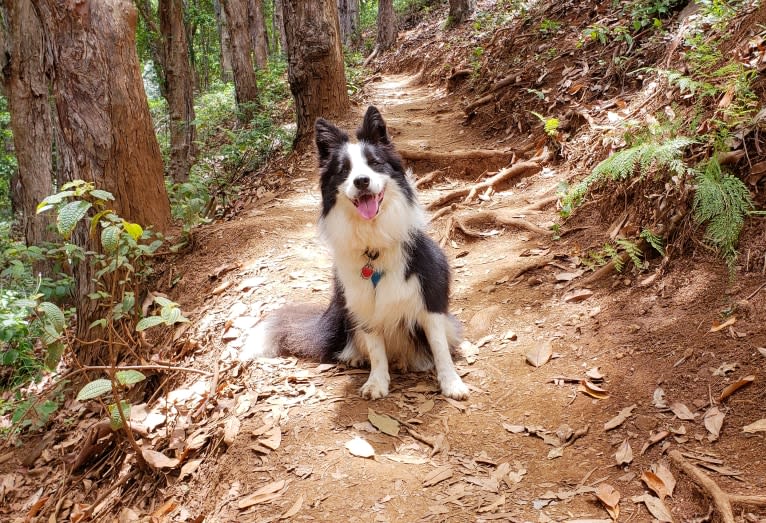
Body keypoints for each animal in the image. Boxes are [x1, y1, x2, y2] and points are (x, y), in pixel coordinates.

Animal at [249, 106, 472, 402]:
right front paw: (377, 383)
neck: (373, 245)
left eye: (375, 163)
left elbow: (439, 348)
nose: (362, 181)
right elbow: (377, 351)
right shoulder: (364, 304)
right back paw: (357, 357)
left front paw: (451, 383)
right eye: (344, 170)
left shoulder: (429, 301)